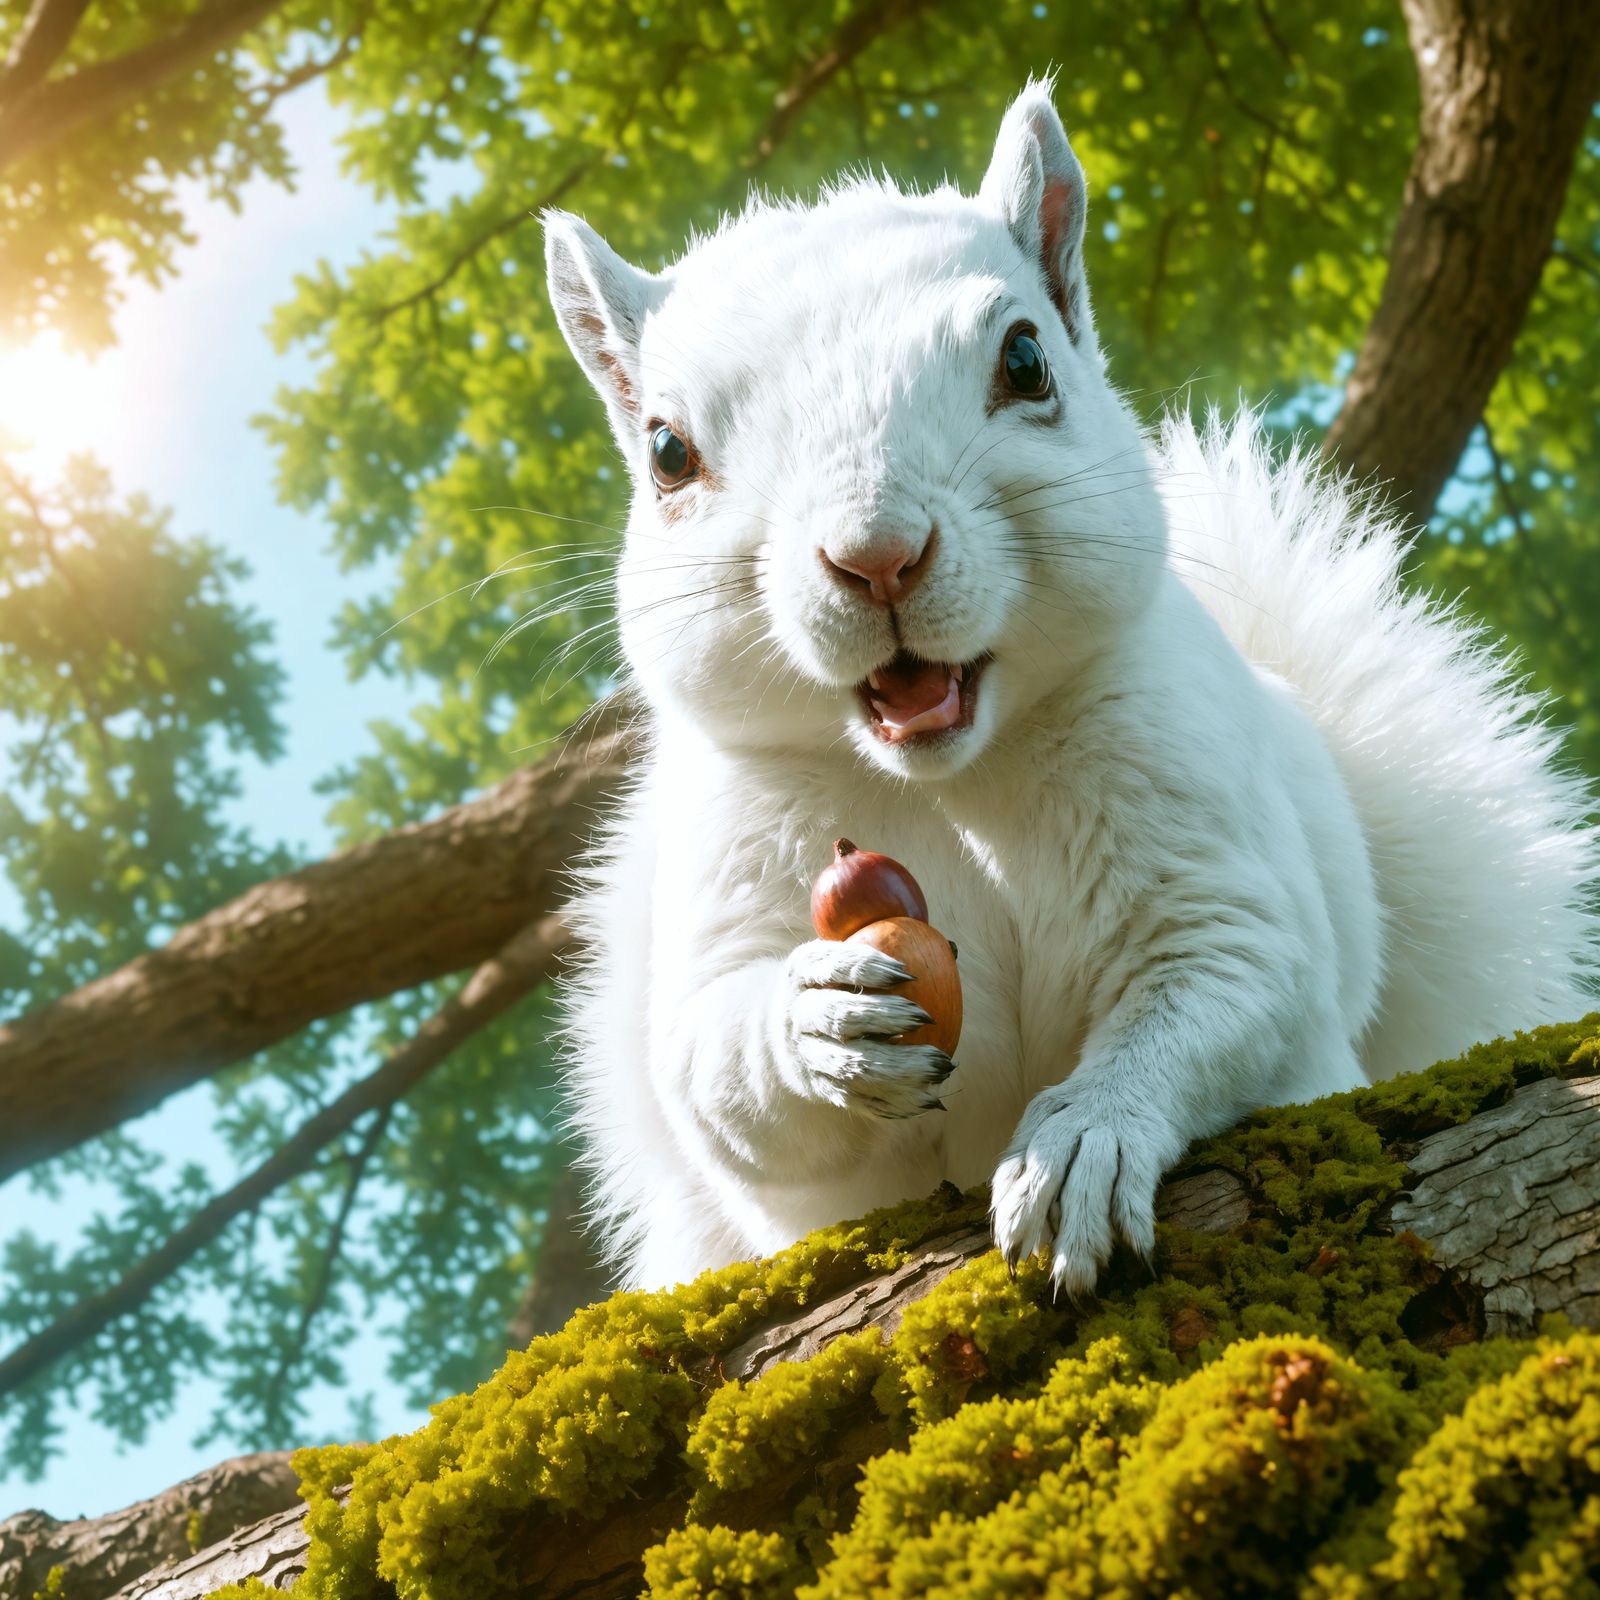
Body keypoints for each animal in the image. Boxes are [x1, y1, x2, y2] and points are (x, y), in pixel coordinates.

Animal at [541, 80, 1598, 1296]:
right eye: (667, 452)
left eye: (1024, 362)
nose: (876, 555)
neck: (954, 775)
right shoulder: (736, 849)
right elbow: (714, 1073)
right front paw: (813, 1022)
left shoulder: (1196, 825)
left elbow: (1224, 987)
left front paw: (1086, 1138)